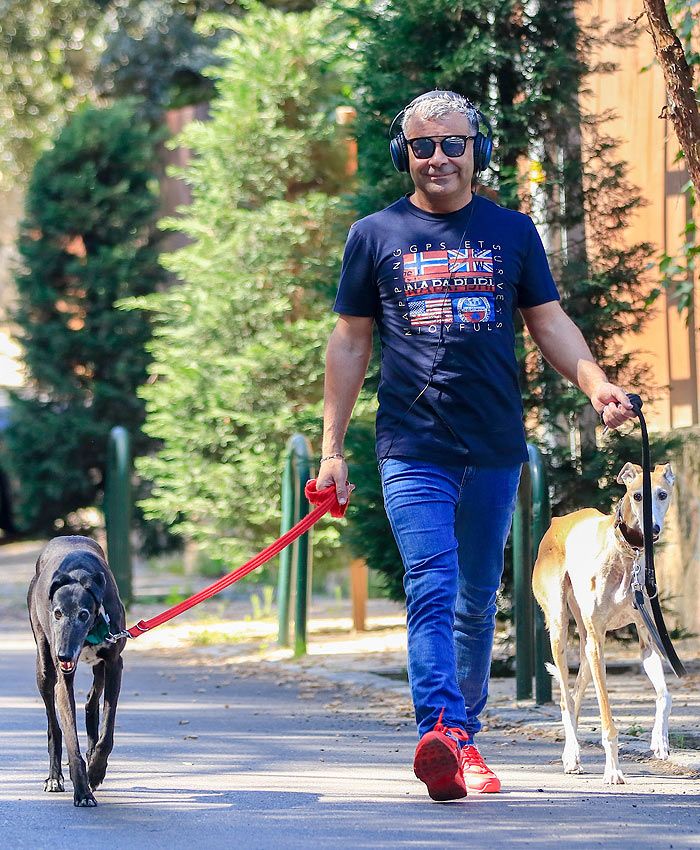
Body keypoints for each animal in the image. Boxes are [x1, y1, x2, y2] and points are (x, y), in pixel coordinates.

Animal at [27, 536, 126, 806]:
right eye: (57, 613)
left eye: (84, 614)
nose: (63, 655)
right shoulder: (63, 678)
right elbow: (70, 736)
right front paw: (82, 789)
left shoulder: (115, 664)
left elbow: (107, 730)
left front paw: (96, 770)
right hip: (44, 669)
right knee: (54, 726)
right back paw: (54, 778)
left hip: (99, 668)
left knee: (92, 701)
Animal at [532, 461, 676, 785]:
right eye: (637, 495)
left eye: (662, 494)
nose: (653, 529)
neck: (626, 555)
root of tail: (558, 521)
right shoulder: (599, 644)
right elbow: (608, 721)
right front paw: (613, 770)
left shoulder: (646, 639)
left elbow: (665, 694)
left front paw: (660, 741)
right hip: (561, 629)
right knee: (565, 698)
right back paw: (573, 754)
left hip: (586, 648)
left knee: (574, 696)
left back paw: (572, 754)